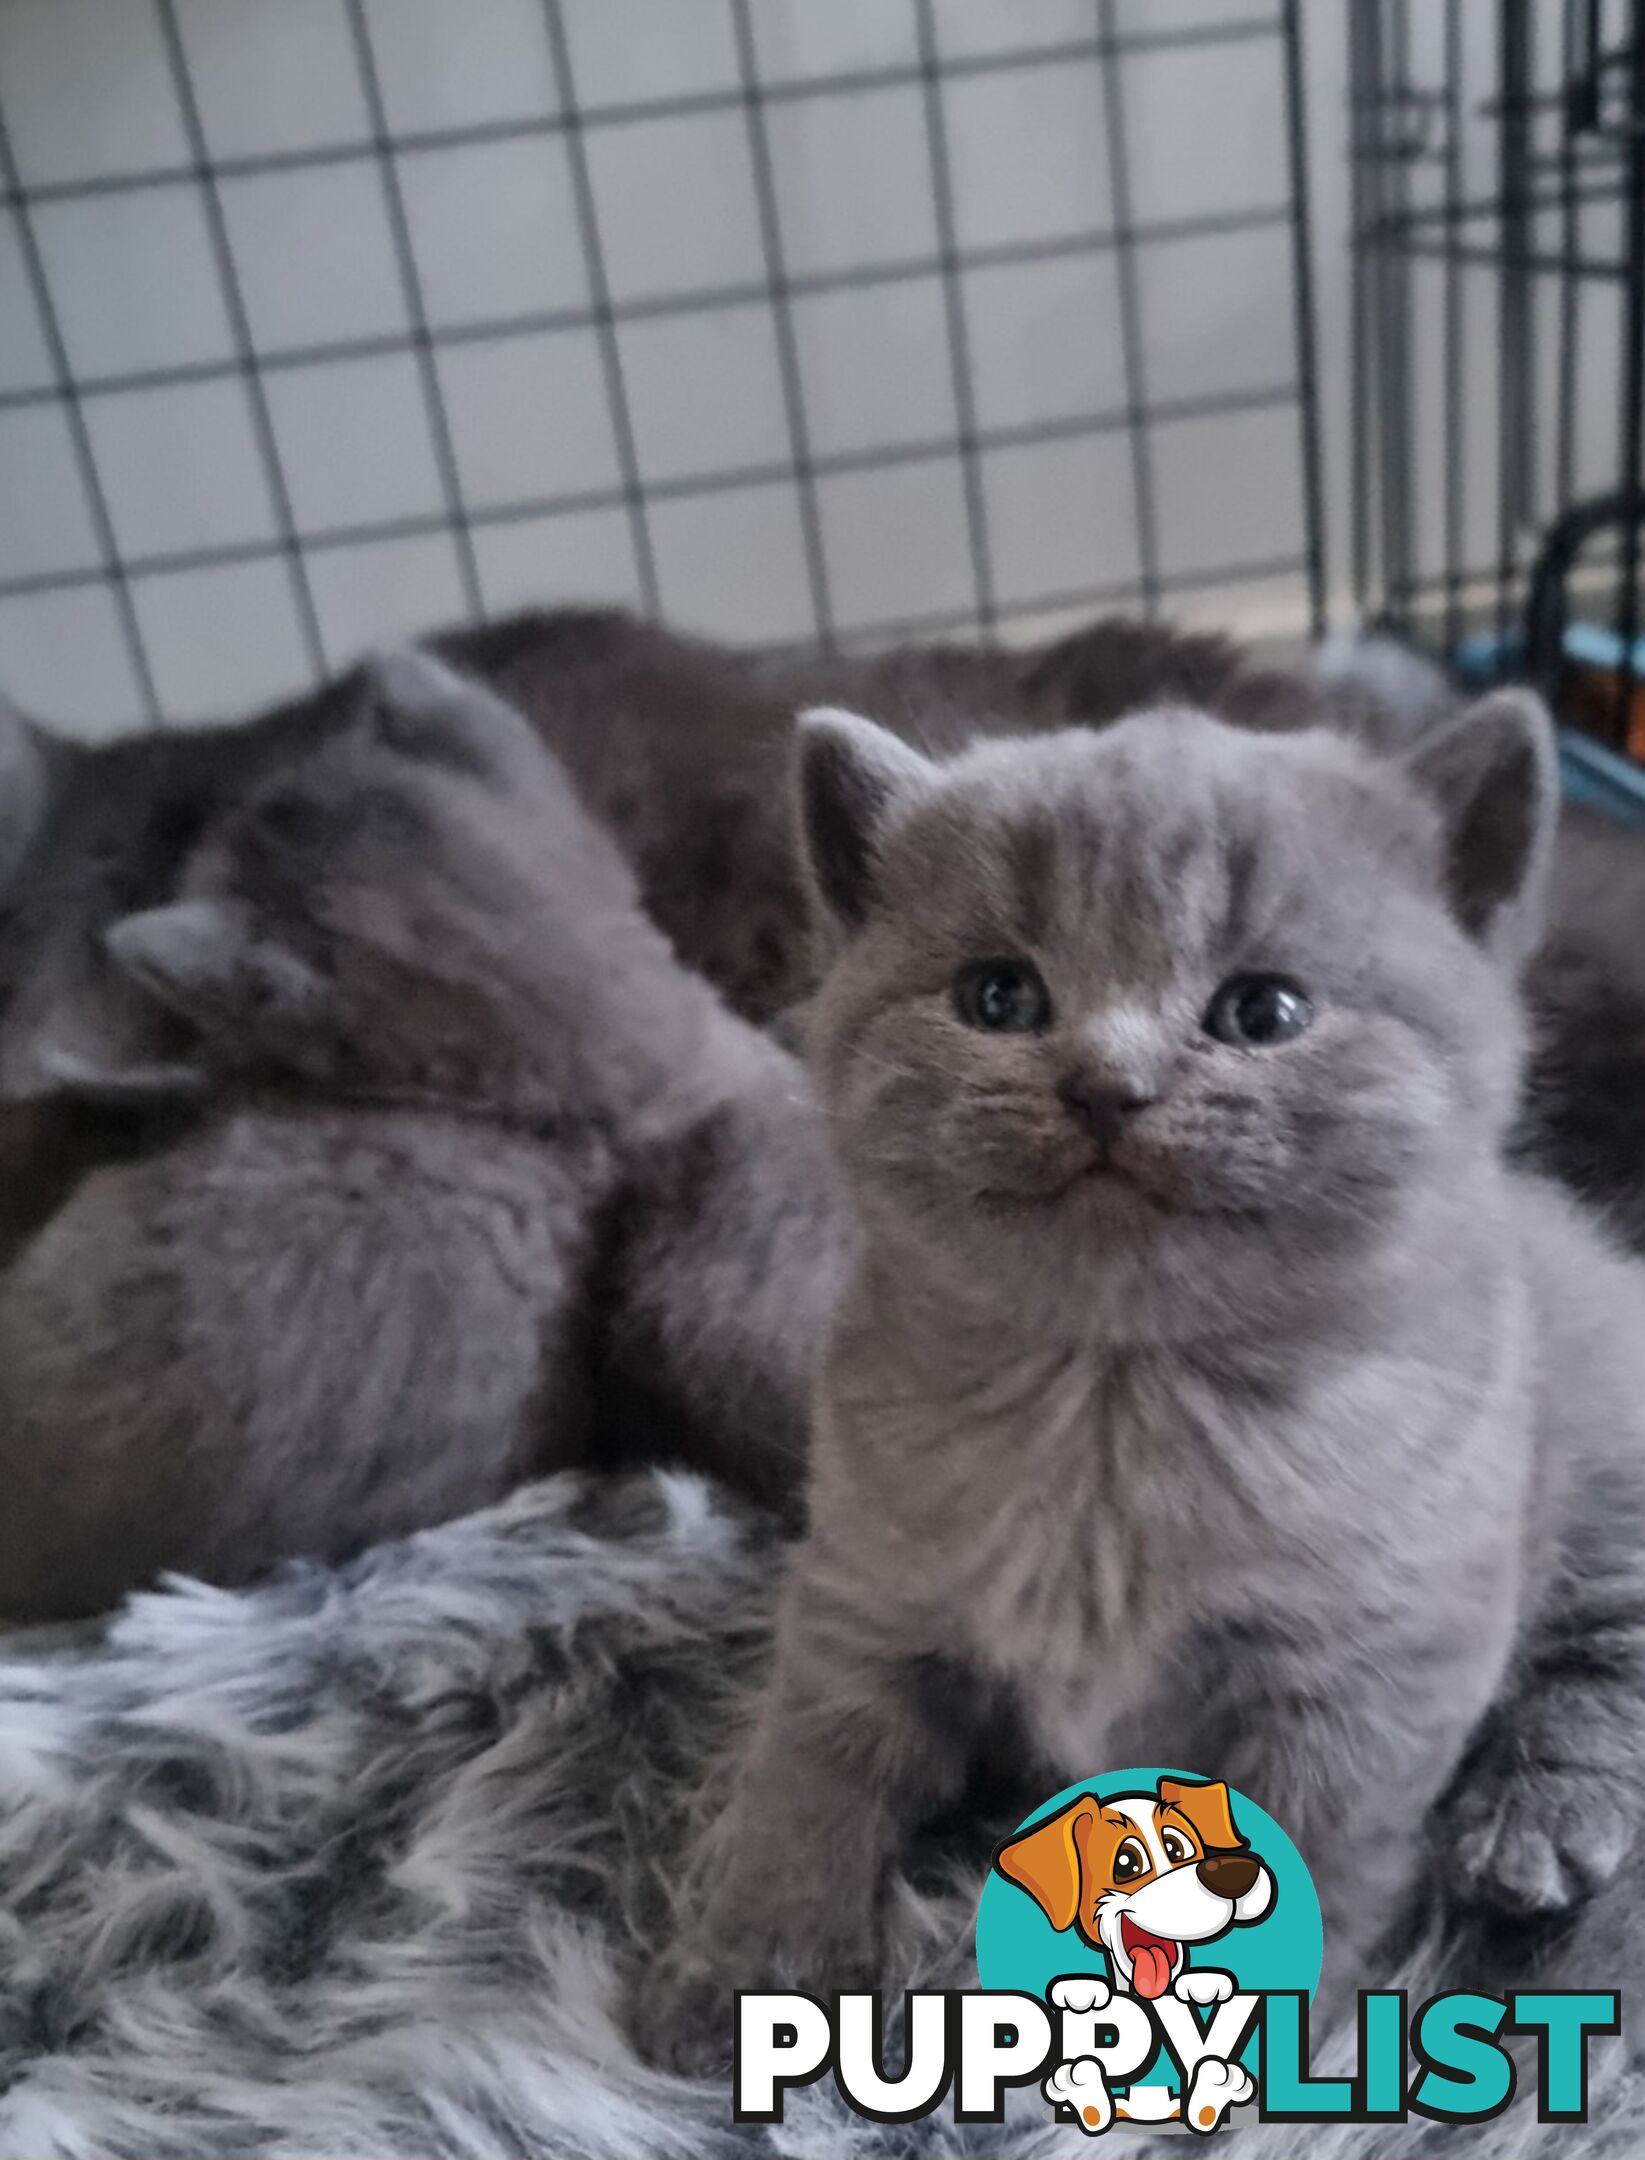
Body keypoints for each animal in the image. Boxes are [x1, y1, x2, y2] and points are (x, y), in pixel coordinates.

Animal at [647, 686, 1640, 2056]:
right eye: (998, 995)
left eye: (1264, 1013)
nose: (1106, 1084)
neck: (1112, 1407)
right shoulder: (862, 1598)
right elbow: (806, 1779)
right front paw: (751, 1976)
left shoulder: (1364, 1687)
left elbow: (1319, 1870)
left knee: (1610, 1650)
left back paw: (1532, 1829)